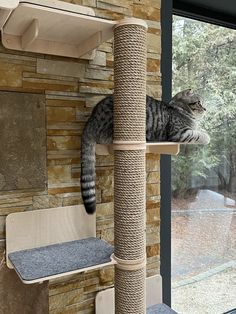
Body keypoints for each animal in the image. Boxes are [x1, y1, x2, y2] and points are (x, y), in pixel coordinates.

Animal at [80, 89, 209, 215]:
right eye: (199, 102)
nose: (205, 109)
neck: (179, 108)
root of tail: (92, 118)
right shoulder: (180, 133)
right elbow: (198, 134)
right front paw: (207, 137)